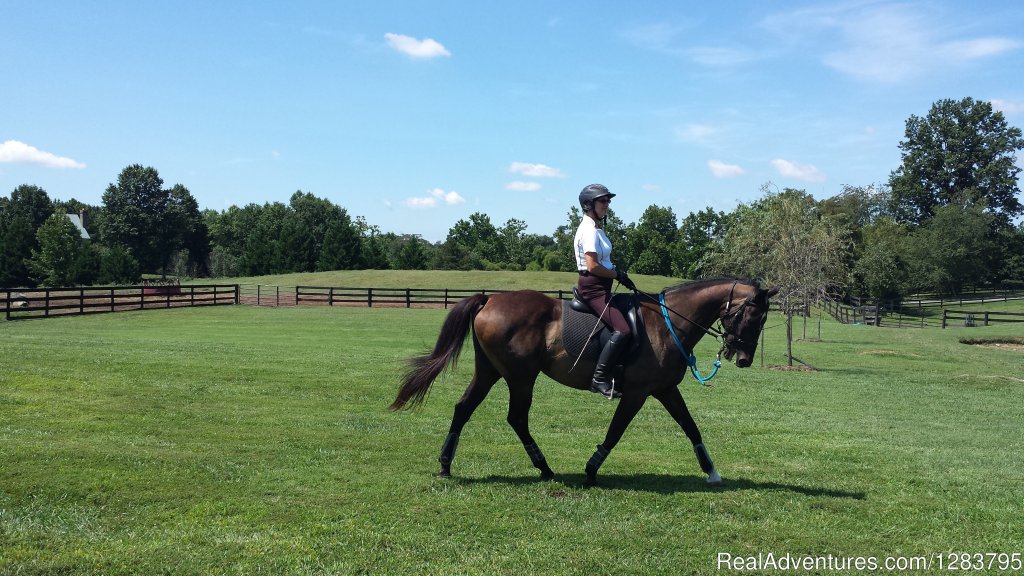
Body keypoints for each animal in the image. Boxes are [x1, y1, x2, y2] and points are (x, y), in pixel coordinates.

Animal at [389, 276, 774, 481]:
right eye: (753, 317)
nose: (743, 359)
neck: (667, 323)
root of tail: (489, 301)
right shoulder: (637, 393)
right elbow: (616, 431)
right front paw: (591, 469)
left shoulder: (665, 389)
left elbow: (691, 427)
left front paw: (711, 471)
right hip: (520, 376)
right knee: (516, 418)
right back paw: (544, 468)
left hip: (490, 372)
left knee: (463, 408)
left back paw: (445, 465)